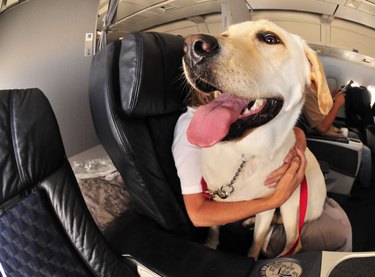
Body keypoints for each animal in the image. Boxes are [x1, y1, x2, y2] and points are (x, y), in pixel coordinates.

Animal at [184, 20, 334, 258]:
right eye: (225, 34)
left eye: (270, 39)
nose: (192, 46)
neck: (244, 153)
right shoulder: (213, 197)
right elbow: (213, 229)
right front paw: (210, 244)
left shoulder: (271, 203)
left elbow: (257, 240)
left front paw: (254, 258)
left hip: (291, 203)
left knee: (294, 240)